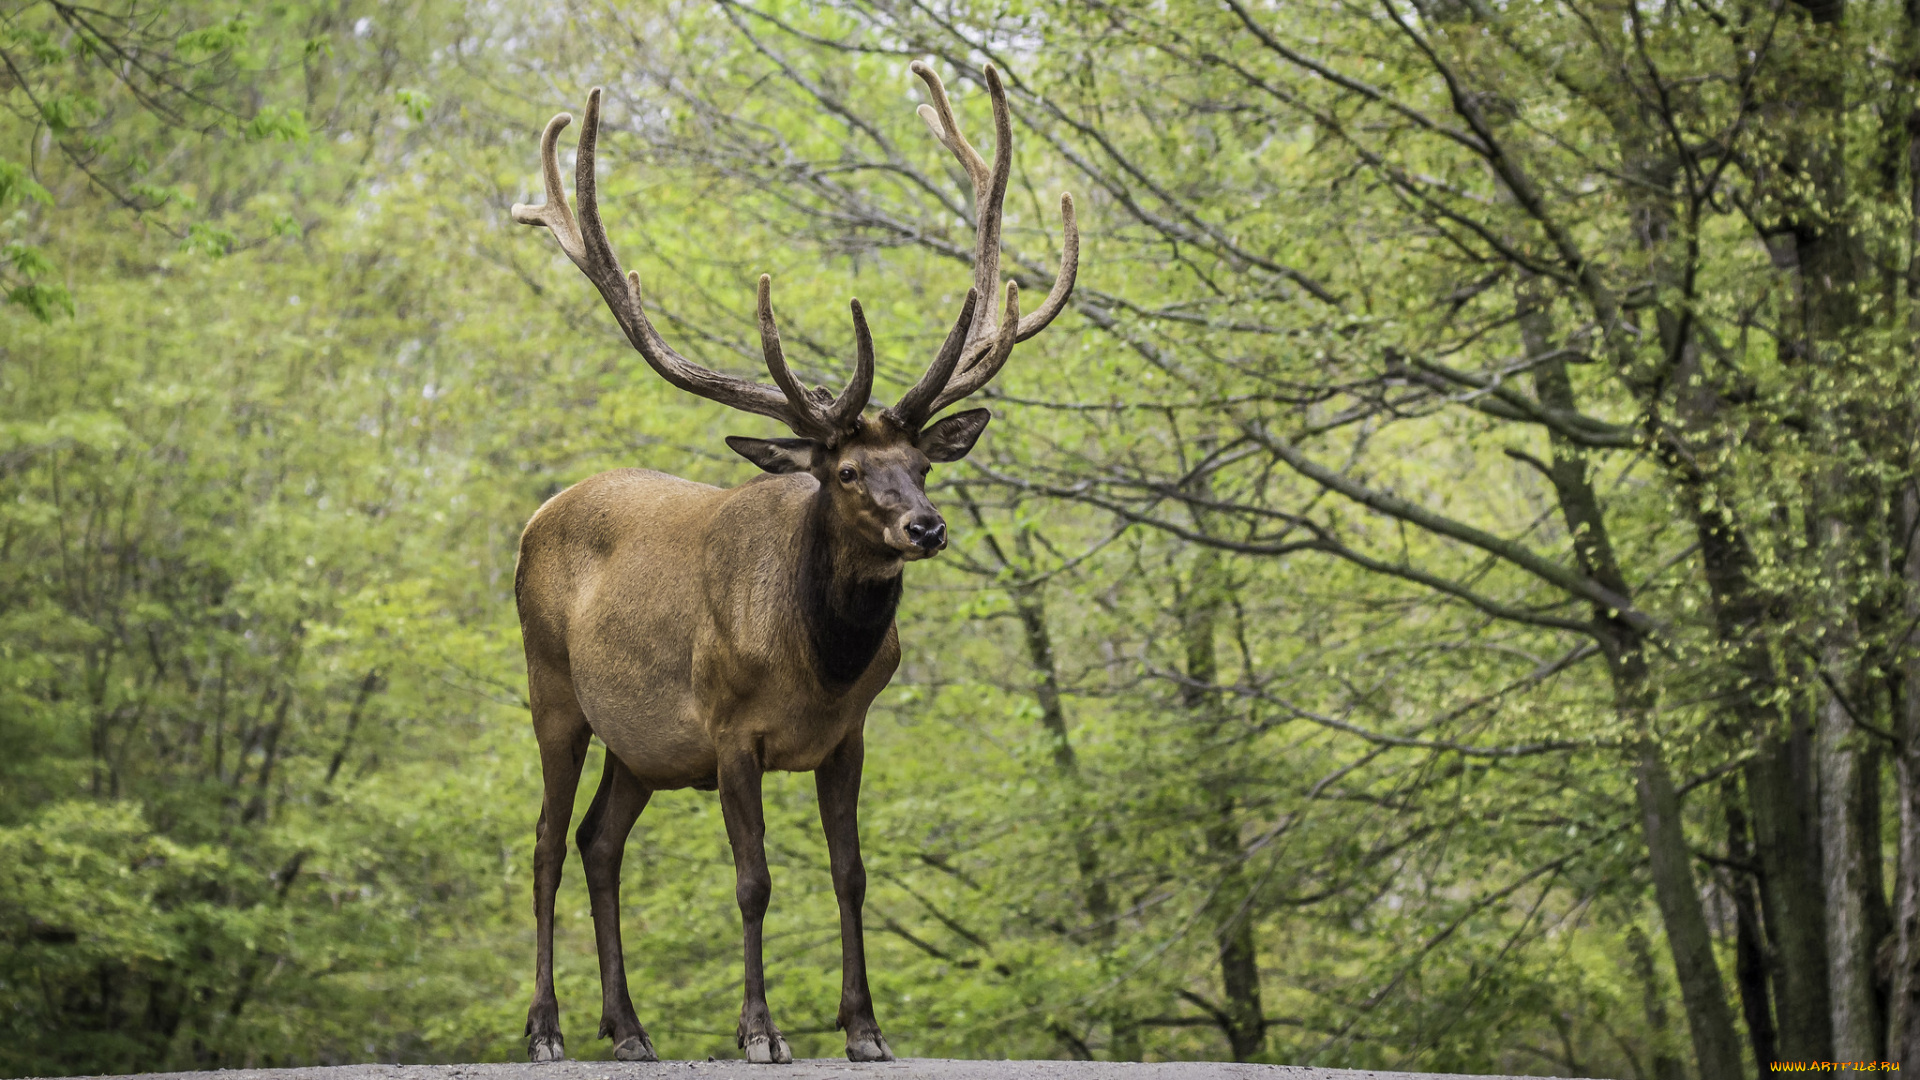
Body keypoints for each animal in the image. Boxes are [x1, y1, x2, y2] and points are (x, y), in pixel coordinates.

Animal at [510, 61, 1082, 1060]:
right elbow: (755, 881)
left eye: (923, 465)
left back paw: (629, 1029)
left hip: (642, 744)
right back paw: (545, 1029)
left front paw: (866, 1030)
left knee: (597, 841)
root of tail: (537, 516)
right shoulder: (730, 730)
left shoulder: (848, 734)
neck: (817, 661)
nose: (926, 528)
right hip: (553, 690)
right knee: (544, 842)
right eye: (847, 471)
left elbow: (851, 873)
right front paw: (759, 1032)